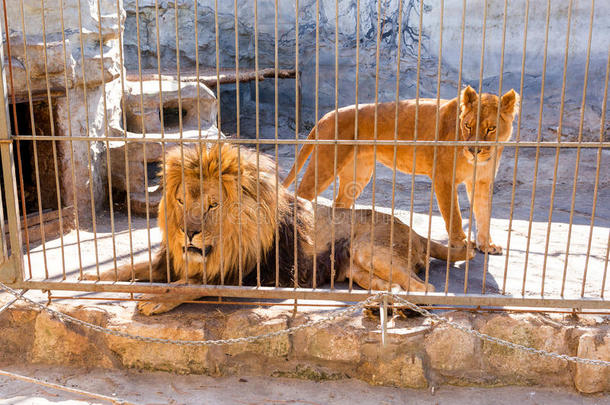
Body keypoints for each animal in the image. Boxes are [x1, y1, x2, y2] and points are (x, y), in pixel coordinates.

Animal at [82, 144, 470, 314]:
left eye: (212, 205)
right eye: (180, 201)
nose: (188, 234)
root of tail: (417, 232)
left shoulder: (242, 274)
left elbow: (187, 286)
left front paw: (153, 298)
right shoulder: (172, 259)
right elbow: (127, 266)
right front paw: (88, 278)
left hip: (368, 248)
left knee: (427, 288)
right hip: (356, 270)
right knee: (395, 285)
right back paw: (381, 305)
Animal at [282, 87, 516, 254]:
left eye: (491, 128)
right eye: (468, 125)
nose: (474, 150)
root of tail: (326, 116)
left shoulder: (482, 182)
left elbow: (484, 214)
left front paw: (487, 245)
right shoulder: (443, 178)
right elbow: (455, 215)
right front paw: (461, 243)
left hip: (358, 175)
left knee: (339, 204)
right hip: (326, 164)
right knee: (300, 195)